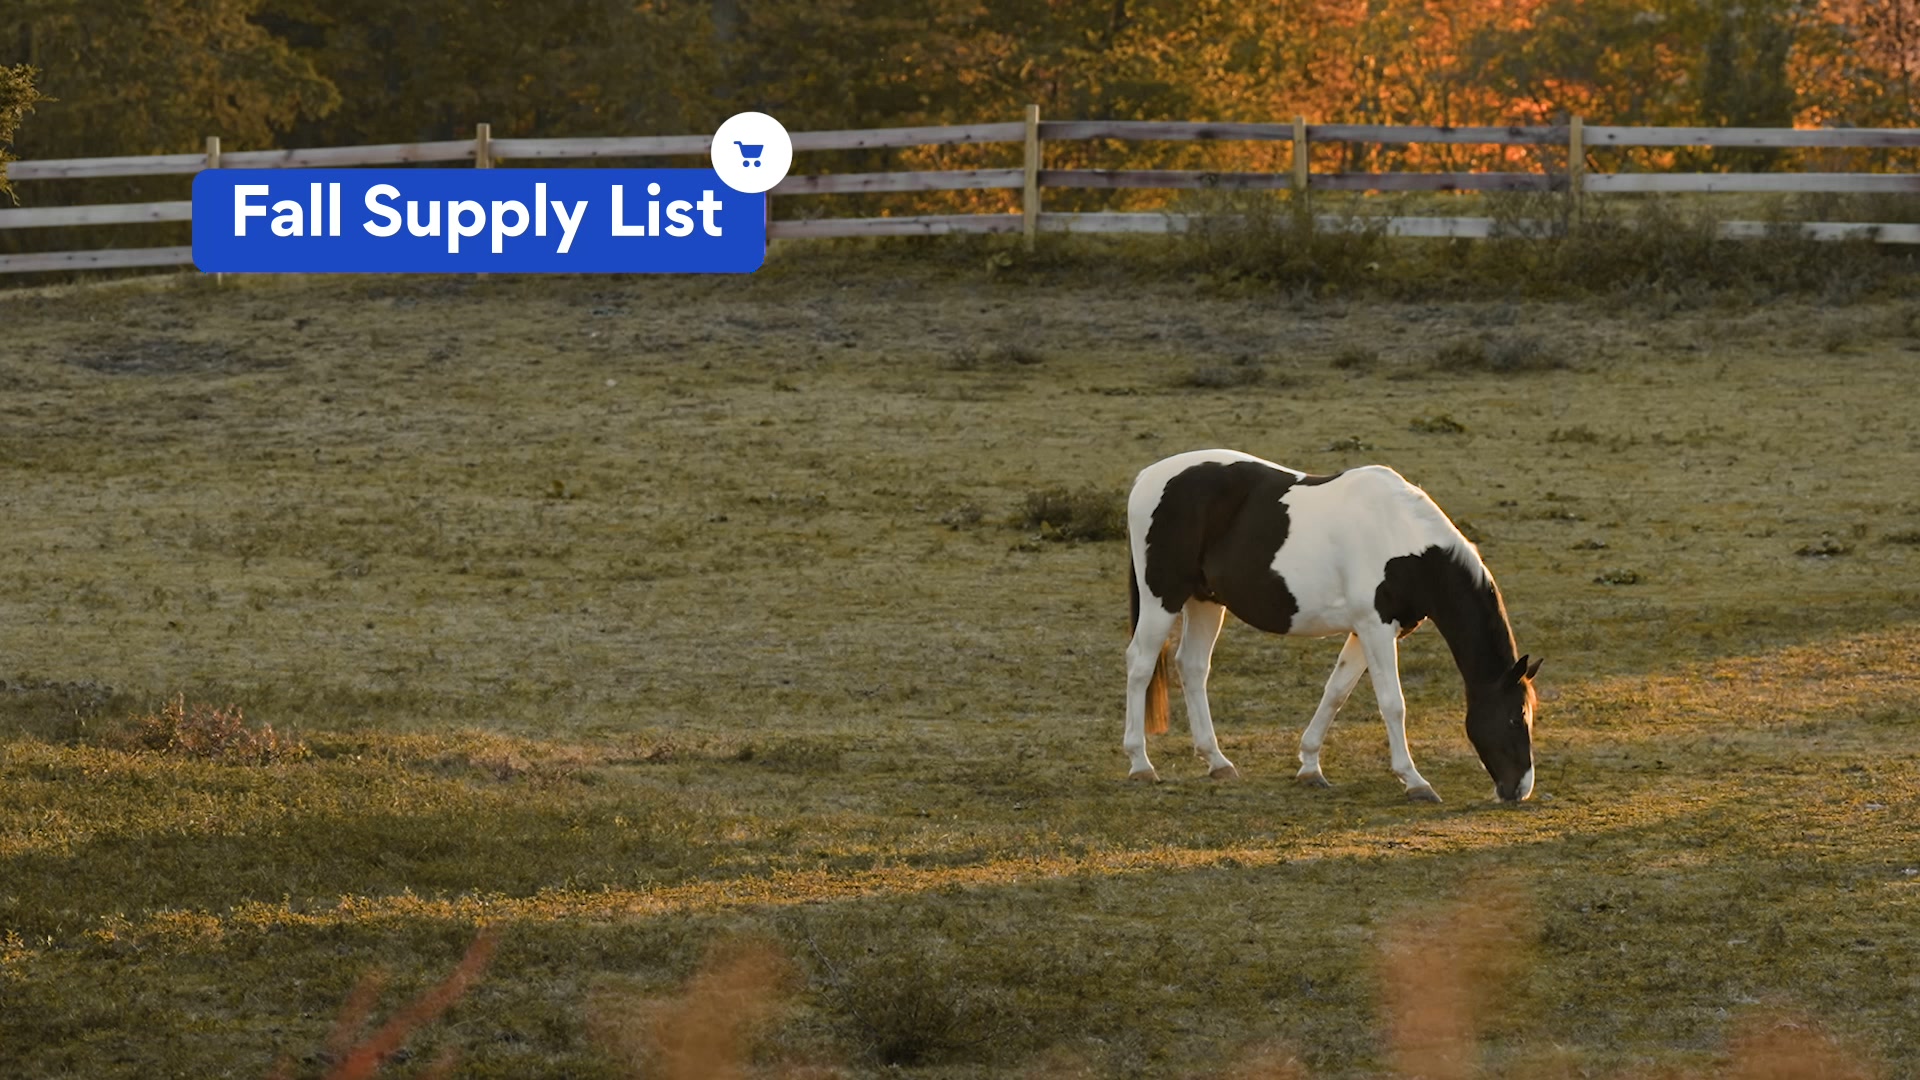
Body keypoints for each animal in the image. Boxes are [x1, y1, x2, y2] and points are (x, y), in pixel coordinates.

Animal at [1123, 448, 1539, 803]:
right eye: (1515, 717)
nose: (1519, 789)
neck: (1402, 537)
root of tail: (1145, 478)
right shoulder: (1376, 628)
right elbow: (1393, 703)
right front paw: (1415, 781)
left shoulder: (1366, 630)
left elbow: (1336, 692)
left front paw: (1310, 766)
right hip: (1163, 598)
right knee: (1140, 665)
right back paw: (1140, 763)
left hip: (1206, 601)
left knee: (1192, 667)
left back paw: (1217, 762)